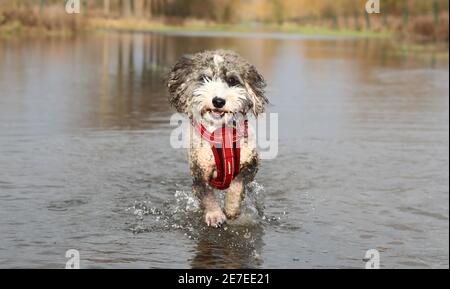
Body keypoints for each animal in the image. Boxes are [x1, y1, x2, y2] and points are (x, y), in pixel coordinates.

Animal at [168, 50, 268, 227]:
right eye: (204, 78)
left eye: (232, 80)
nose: (218, 101)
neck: (221, 133)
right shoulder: (199, 173)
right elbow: (207, 194)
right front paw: (215, 215)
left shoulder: (252, 163)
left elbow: (238, 183)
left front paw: (231, 209)